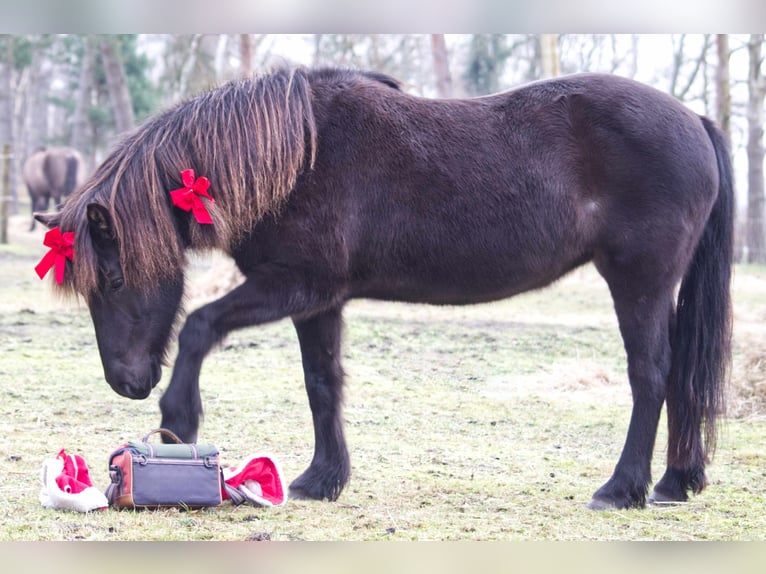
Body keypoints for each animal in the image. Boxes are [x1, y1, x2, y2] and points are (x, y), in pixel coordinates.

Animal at [34, 68, 732, 512]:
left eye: (114, 279)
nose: (127, 383)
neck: (297, 154)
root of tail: (694, 120)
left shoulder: (296, 283)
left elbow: (202, 325)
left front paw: (178, 422)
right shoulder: (319, 302)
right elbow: (322, 383)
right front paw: (322, 480)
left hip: (639, 282)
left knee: (650, 375)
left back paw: (621, 490)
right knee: (678, 377)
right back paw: (675, 482)